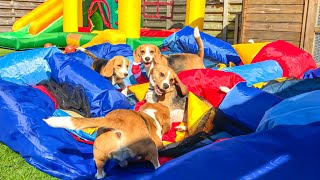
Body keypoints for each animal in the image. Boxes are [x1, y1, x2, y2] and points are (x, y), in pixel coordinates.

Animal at [44, 102, 172, 179]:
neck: (150, 115)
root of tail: (118, 122)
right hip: (151, 146)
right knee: (155, 162)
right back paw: (160, 167)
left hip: (99, 152)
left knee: (101, 168)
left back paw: (101, 174)